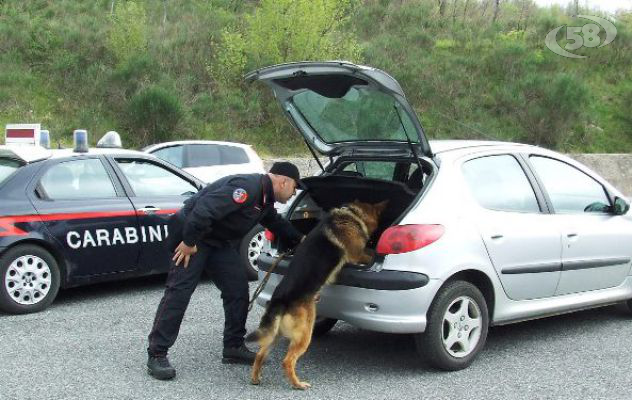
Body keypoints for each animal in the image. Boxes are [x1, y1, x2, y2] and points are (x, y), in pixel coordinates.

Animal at [246, 200, 386, 390]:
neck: (353, 214)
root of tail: (280, 300)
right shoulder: (358, 255)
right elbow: (370, 252)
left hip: (274, 335)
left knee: (260, 354)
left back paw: (255, 378)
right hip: (305, 333)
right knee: (287, 361)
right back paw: (298, 384)